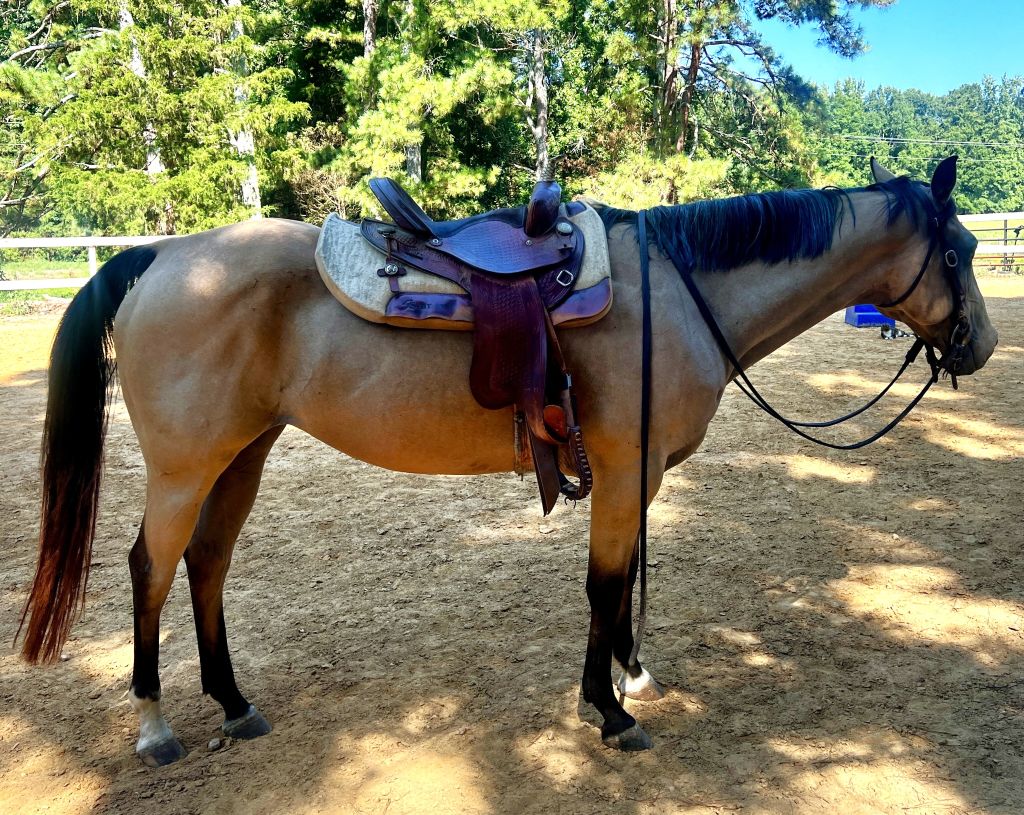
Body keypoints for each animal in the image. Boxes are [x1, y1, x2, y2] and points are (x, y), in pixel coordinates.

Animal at [18, 156, 997, 765]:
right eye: (958, 249)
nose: (981, 345)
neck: (680, 290)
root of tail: (159, 256)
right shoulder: (625, 465)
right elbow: (606, 583)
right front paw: (608, 710)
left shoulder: (637, 473)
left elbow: (626, 576)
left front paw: (631, 674)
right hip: (188, 465)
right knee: (151, 567)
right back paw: (155, 724)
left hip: (243, 455)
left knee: (207, 562)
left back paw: (232, 702)